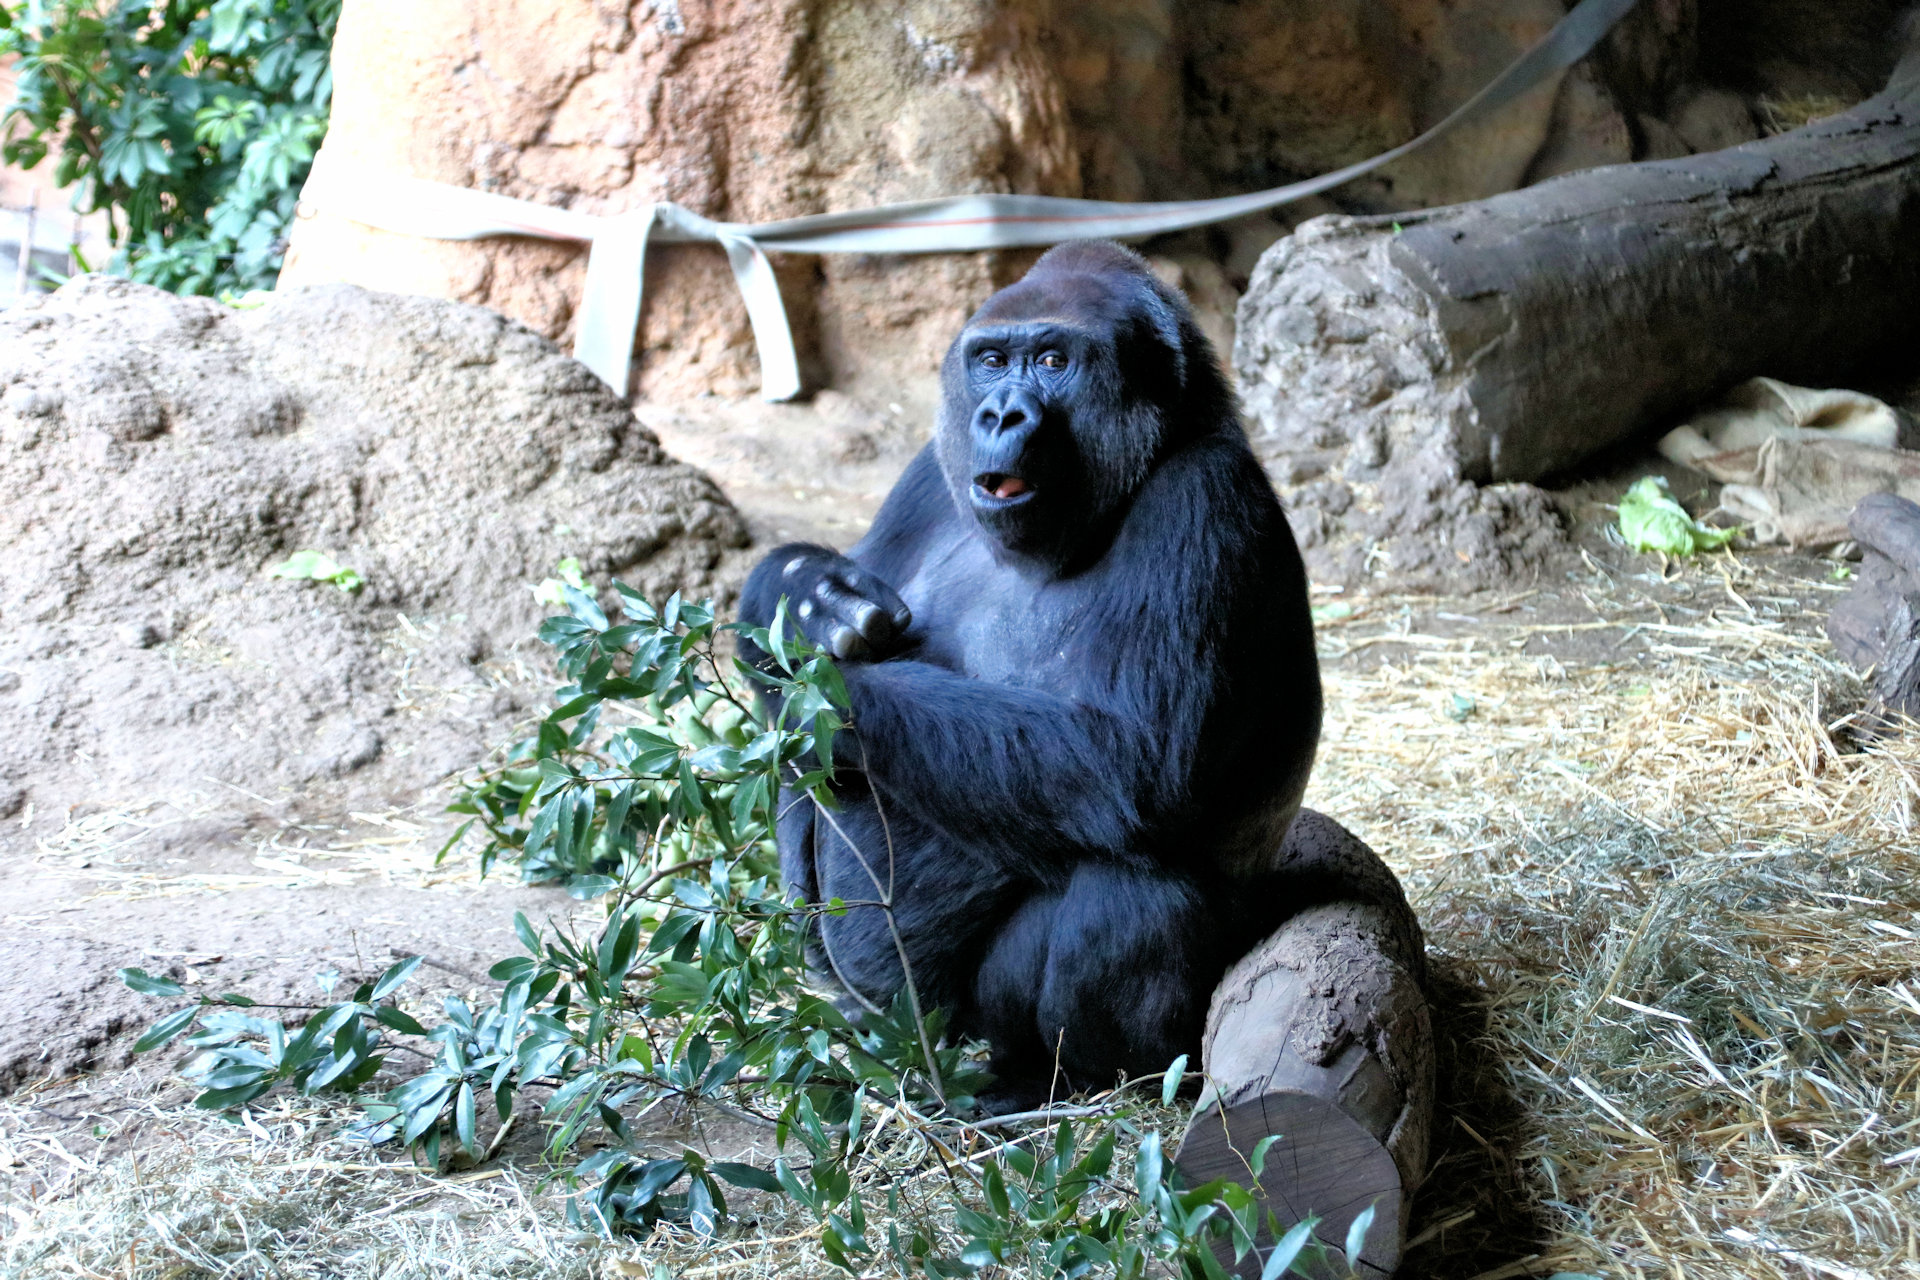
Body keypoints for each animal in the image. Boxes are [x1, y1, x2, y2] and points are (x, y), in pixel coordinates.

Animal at [733, 239, 1320, 1113]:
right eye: (990, 361)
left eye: (1051, 361)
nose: (1002, 415)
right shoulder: (927, 471)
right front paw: (799, 595)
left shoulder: (1205, 500)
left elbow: (1131, 762)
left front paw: (818, 691)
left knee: (1133, 895)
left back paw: (1062, 1080)